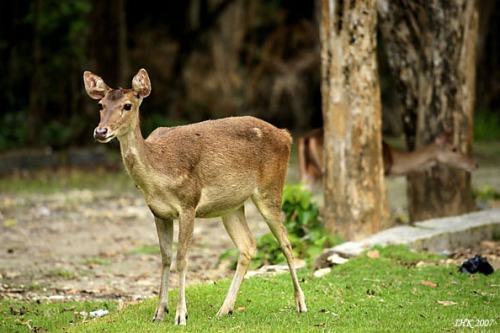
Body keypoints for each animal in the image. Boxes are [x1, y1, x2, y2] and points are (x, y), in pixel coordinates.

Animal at [84, 68, 306, 324]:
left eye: (127, 105)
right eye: (101, 105)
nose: (101, 131)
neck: (160, 172)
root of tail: (286, 135)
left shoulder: (188, 203)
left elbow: (182, 259)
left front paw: (181, 315)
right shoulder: (158, 212)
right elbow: (165, 257)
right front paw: (159, 312)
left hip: (271, 187)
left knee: (285, 241)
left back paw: (301, 304)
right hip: (231, 207)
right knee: (248, 245)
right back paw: (225, 308)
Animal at [298, 127, 478, 188]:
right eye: (454, 149)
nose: (474, 164)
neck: (394, 161)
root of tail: (306, 138)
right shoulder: (381, 171)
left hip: (307, 172)